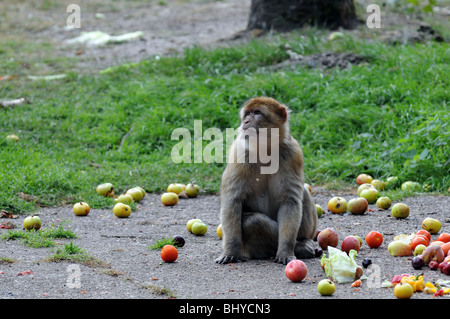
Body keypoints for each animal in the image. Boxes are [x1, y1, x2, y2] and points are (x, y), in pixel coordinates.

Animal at [214, 96, 316, 266]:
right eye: (247, 114)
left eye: (257, 113)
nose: (246, 121)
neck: (265, 150)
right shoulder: (239, 153)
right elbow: (232, 200)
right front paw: (230, 251)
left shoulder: (293, 153)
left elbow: (290, 200)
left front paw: (285, 250)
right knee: (254, 221)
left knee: (303, 193)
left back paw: (302, 242)